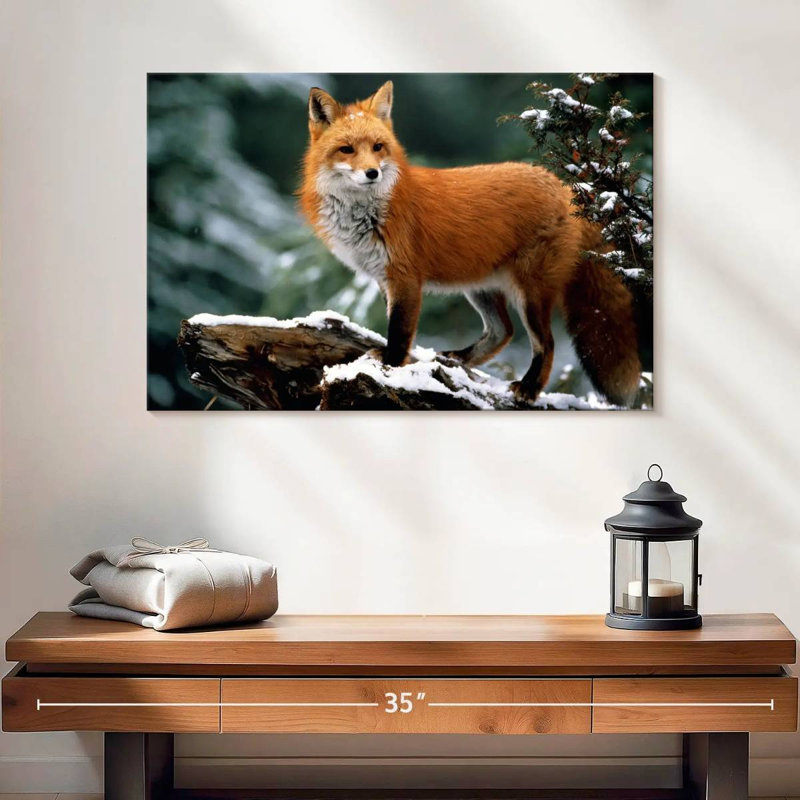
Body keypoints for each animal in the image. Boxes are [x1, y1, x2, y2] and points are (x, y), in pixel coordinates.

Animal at [299, 81, 642, 406]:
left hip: (530, 293)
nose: (372, 173)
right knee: (503, 331)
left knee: (546, 342)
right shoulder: (384, 278)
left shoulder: (405, 278)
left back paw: (529, 388)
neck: (367, 213)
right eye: (346, 149)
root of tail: (566, 187)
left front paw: (392, 367)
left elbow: (399, 332)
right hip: (480, 287)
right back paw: (459, 359)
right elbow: (395, 327)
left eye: (378, 147)